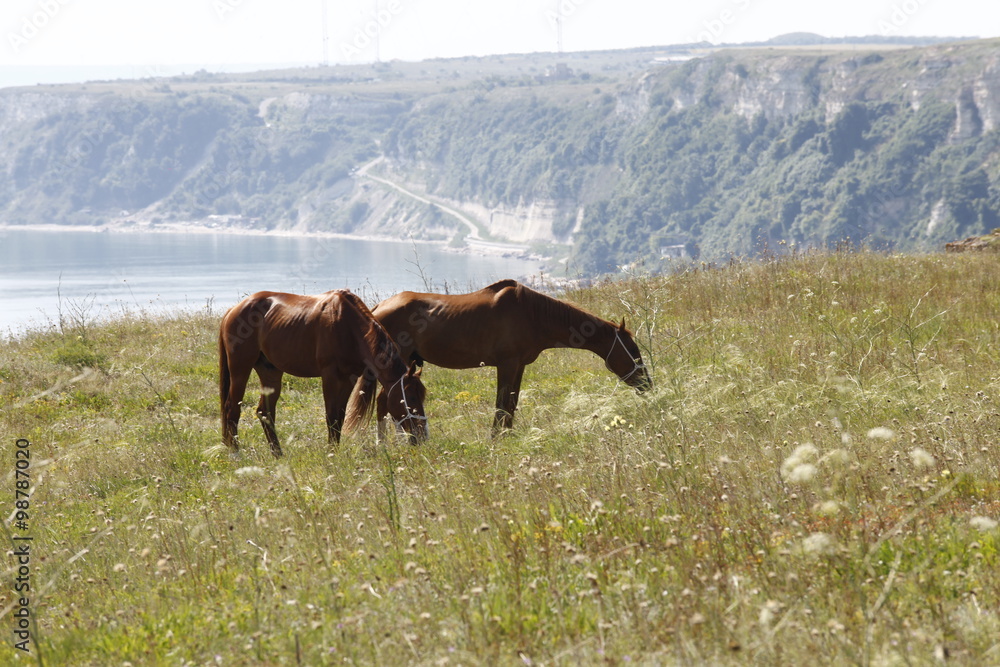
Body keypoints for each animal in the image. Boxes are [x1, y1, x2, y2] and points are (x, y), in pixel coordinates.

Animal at [221, 290, 428, 456]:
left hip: (270, 373)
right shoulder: (330, 377)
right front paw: (331, 453)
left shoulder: (349, 379)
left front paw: (334, 450)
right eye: (409, 396)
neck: (348, 326)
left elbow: (340, 417)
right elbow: (331, 416)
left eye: (421, 397)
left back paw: (277, 453)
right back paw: (236, 454)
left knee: (265, 412)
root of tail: (232, 310)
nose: (422, 435)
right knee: (232, 409)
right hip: (240, 369)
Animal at [348, 280, 652, 434]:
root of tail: (377, 308)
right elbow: (501, 405)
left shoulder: (518, 366)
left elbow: (511, 405)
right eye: (632, 352)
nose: (647, 384)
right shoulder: (506, 365)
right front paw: (496, 438)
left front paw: (508, 435)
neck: (532, 313)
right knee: (384, 403)